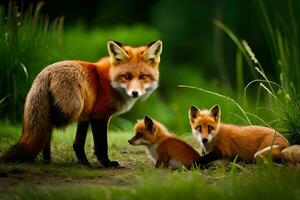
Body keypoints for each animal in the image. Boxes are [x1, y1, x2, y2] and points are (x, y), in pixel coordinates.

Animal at [1, 39, 163, 167]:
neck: (110, 81)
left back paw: (47, 161)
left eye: (143, 77)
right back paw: (46, 159)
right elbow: (101, 145)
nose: (135, 93)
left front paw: (84, 163)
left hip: (75, 110)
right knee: (48, 127)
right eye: (126, 76)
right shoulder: (99, 115)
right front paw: (106, 163)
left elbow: (78, 144)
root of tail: (46, 73)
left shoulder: (85, 116)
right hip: (70, 111)